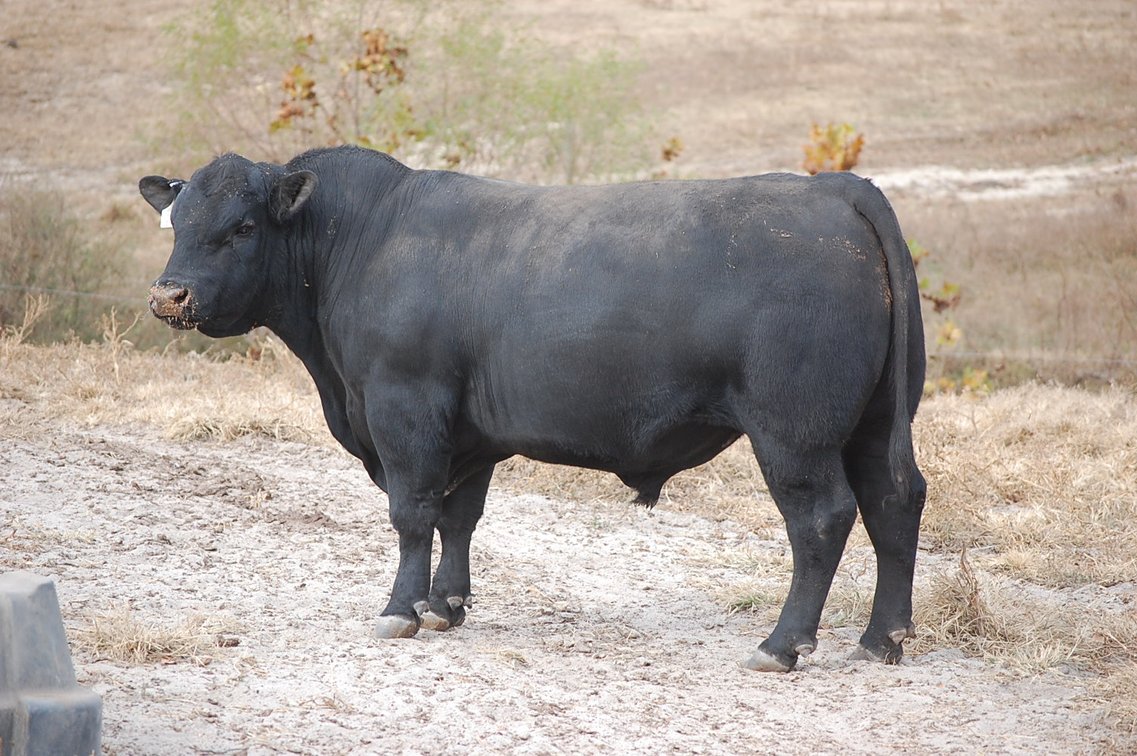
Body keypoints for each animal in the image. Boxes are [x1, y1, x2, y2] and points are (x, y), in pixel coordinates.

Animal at [140, 146, 926, 672]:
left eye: (243, 227)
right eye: (174, 221)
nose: (169, 294)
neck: (364, 240)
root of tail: (834, 190)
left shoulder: (404, 409)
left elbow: (411, 514)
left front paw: (399, 611)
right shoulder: (468, 433)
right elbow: (457, 517)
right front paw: (444, 606)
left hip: (794, 433)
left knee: (821, 519)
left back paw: (781, 644)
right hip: (876, 423)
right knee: (895, 501)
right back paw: (882, 637)